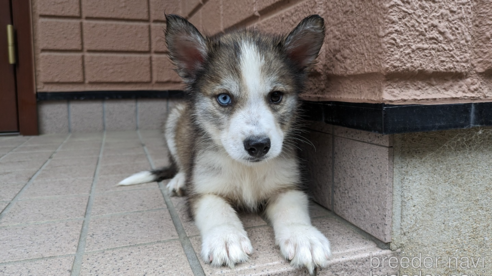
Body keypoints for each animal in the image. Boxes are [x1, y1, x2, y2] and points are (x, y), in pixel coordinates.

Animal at [120, 14, 330, 272]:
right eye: (224, 98)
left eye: (276, 96)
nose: (258, 146)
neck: (248, 170)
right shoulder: (205, 191)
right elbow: (218, 211)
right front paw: (227, 239)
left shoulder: (288, 186)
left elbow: (293, 211)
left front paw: (304, 239)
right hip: (174, 117)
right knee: (180, 164)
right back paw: (179, 180)